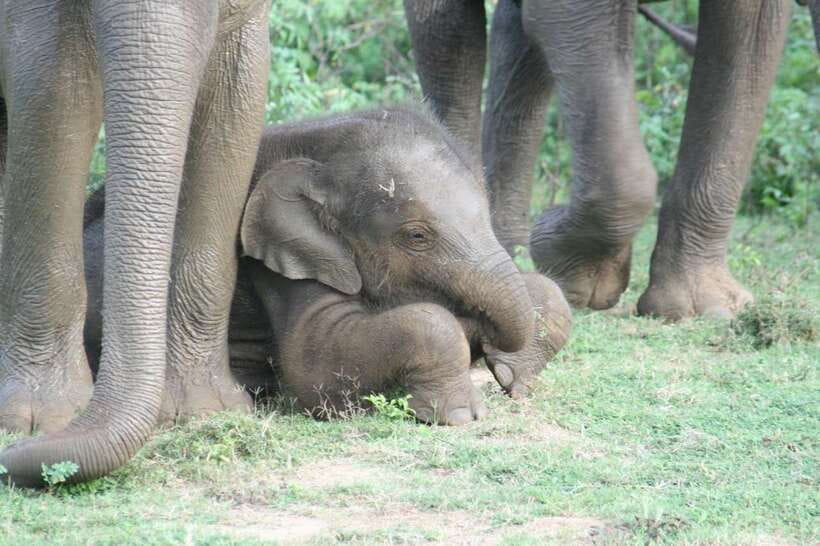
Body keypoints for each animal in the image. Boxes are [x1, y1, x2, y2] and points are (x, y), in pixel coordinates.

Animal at [82, 106, 573, 425]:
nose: (490, 350)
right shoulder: (274, 256)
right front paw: (460, 413)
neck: (320, 147)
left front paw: (514, 378)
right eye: (417, 237)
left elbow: (551, 292)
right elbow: (314, 362)